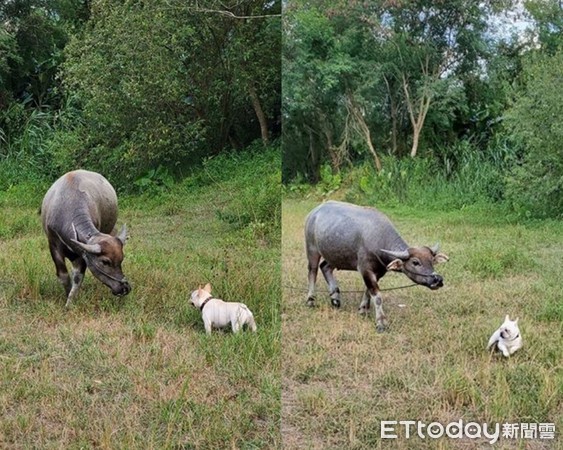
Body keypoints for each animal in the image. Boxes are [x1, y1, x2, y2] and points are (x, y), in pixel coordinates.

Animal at [40, 170, 131, 306]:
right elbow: (63, 275)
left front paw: (70, 301)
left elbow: (77, 277)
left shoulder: (82, 253)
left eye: (122, 259)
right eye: (105, 262)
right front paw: (67, 298)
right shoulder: (53, 244)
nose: (124, 288)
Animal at [304, 200, 450, 330]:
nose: (437, 280)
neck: (379, 239)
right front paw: (381, 322)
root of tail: (314, 212)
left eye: (432, 261)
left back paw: (335, 299)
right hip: (312, 249)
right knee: (313, 271)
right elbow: (377, 296)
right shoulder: (365, 269)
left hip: (335, 255)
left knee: (325, 267)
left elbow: (368, 291)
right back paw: (310, 300)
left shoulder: (378, 272)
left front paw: (363, 310)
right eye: (415, 262)